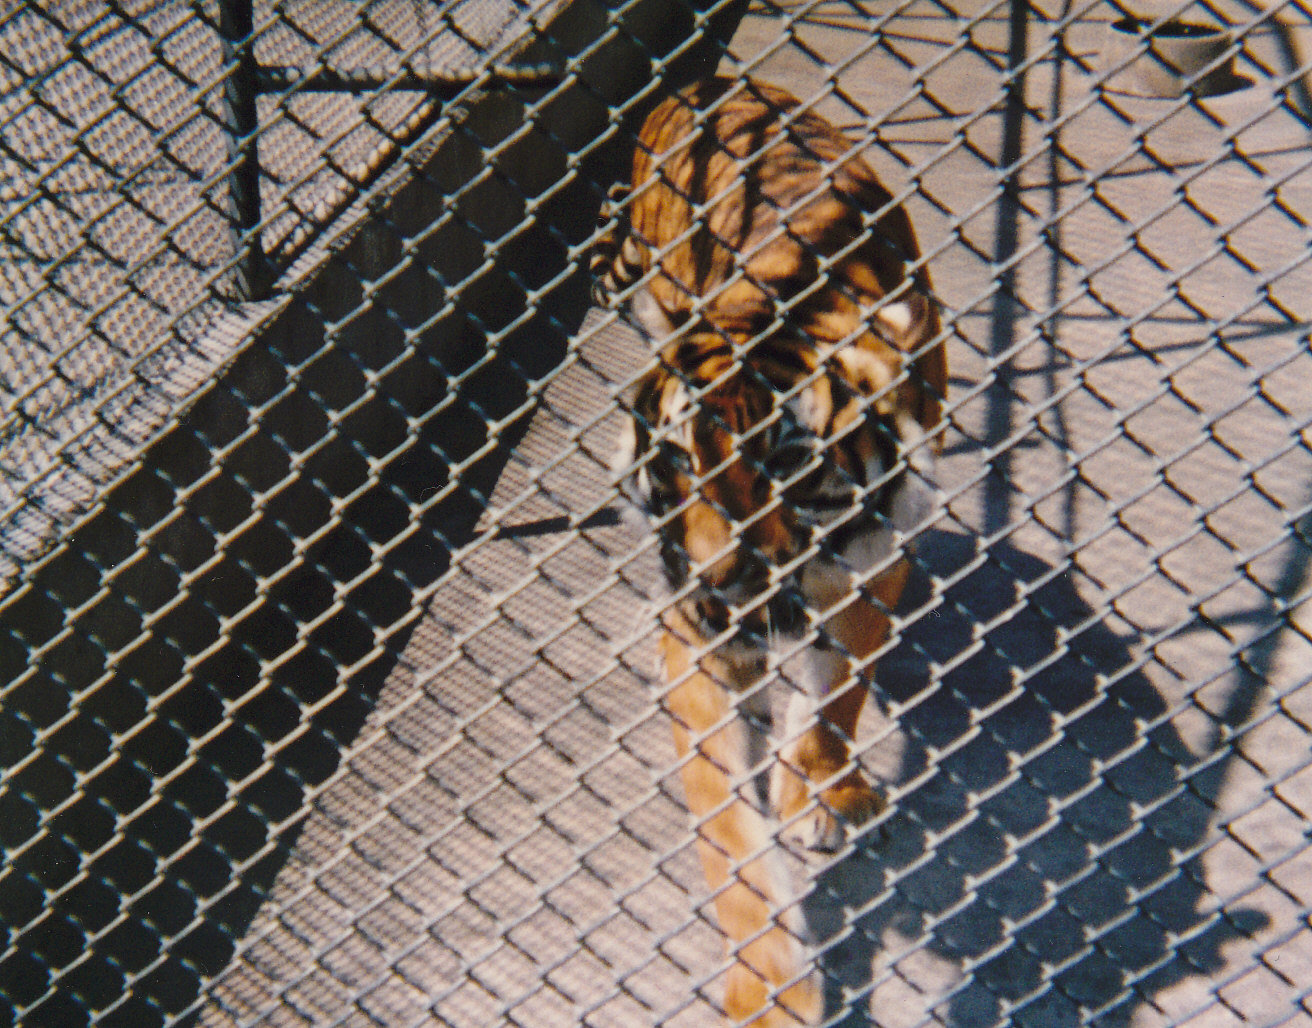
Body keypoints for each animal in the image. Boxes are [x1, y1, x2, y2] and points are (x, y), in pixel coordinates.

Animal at [592, 78, 947, 1026]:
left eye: (786, 460)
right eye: (681, 458)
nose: (721, 579)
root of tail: (714, 83)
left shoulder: (876, 561)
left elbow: (841, 691)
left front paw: (824, 789)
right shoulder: (696, 636)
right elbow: (727, 831)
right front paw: (767, 990)